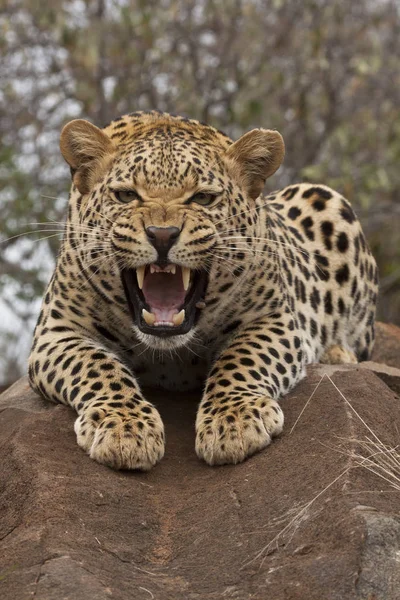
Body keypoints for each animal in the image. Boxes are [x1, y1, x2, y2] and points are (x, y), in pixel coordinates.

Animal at [27, 111, 378, 468]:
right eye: (126, 195)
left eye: (202, 198)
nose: (163, 234)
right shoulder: (57, 332)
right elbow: (97, 366)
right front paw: (124, 427)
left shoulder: (273, 319)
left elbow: (242, 359)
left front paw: (234, 421)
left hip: (326, 199)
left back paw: (338, 353)